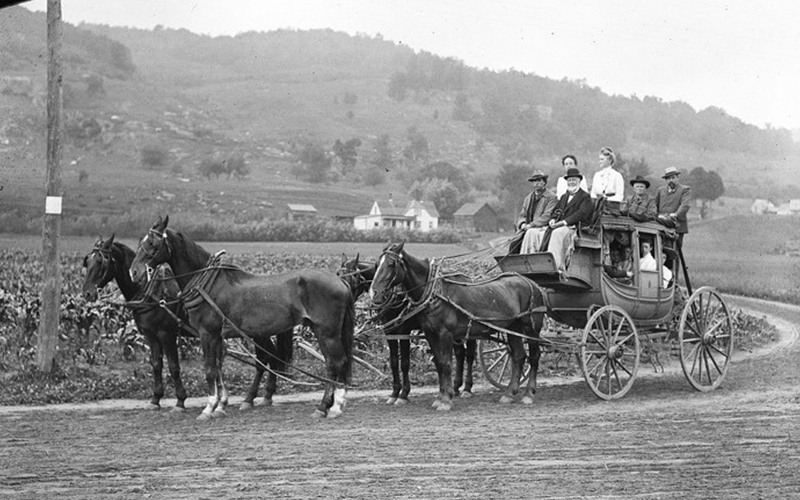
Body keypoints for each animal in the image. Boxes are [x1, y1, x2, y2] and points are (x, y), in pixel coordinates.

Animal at [130, 217, 354, 420]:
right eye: (141, 241)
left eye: (152, 243)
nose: (134, 272)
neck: (207, 285)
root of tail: (341, 281)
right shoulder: (217, 336)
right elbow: (217, 368)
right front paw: (219, 406)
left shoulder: (206, 333)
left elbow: (209, 369)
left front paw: (208, 408)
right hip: (319, 331)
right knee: (331, 364)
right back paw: (324, 406)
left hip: (327, 332)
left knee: (339, 362)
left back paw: (334, 406)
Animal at [338, 256, 476, 404]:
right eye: (337, 274)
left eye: (354, 276)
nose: (341, 297)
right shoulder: (389, 331)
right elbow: (393, 362)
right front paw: (394, 393)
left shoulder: (403, 331)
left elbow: (404, 363)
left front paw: (403, 394)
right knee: (460, 353)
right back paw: (456, 387)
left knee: (469, 354)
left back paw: (467, 388)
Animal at [370, 241, 548, 410]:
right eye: (376, 264)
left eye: (391, 264)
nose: (374, 293)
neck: (436, 293)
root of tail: (532, 284)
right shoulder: (429, 334)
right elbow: (438, 363)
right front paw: (440, 397)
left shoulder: (443, 334)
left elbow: (445, 364)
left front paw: (445, 400)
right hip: (513, 328)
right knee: (518, 356)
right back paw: (509, 393)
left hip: (531, 329)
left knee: (534, 356)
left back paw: (528, 393)